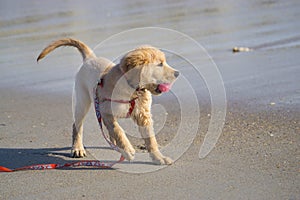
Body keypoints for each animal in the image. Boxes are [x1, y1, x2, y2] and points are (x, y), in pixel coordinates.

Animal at [36, 38, 179, 164]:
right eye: (160, 64)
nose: (177, 73)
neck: (131, 88)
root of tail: (90, 58)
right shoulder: (105, 110)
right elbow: (118, 130)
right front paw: (128, 149)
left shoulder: (143, 115)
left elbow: (151, 140)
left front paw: (159, 158)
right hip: (83, 101)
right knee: (77, 125)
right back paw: (77, 148)